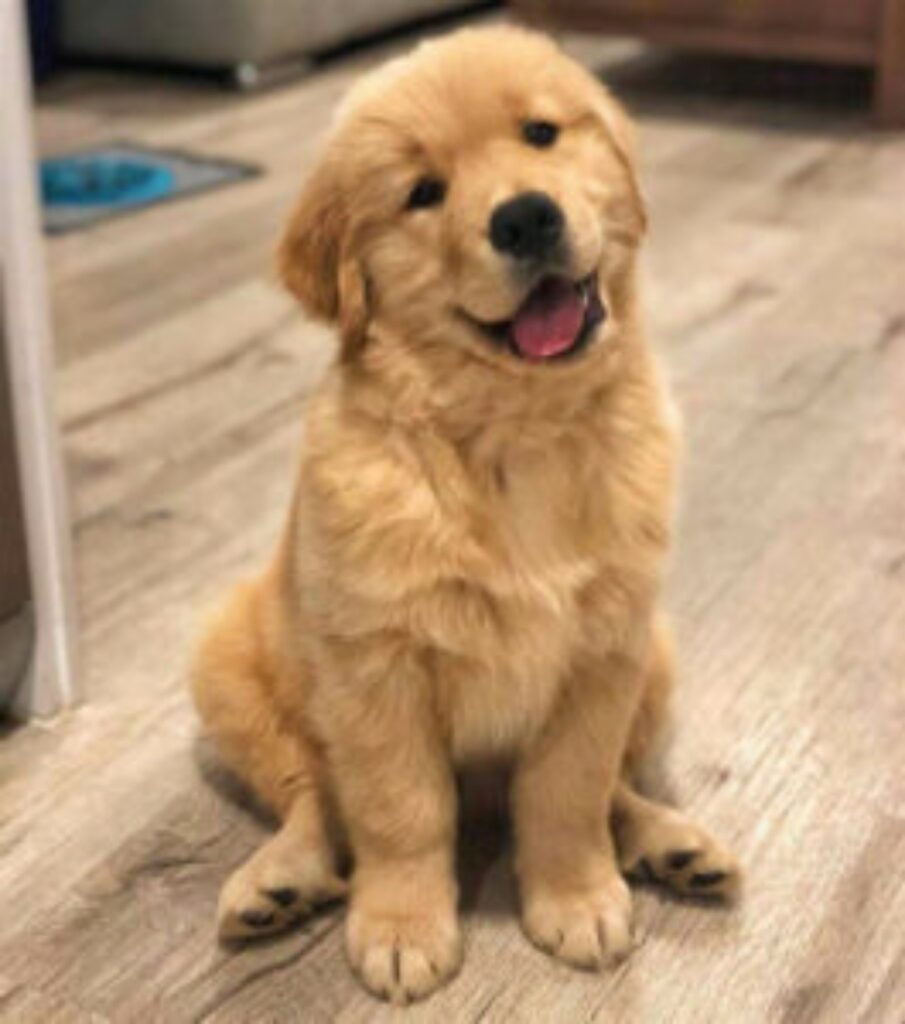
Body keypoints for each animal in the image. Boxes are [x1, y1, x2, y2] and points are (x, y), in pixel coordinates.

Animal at [189, 25, 737, 1007]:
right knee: (309, 795)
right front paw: (403, 928)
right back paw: (276, 880)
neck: (513, 434)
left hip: (655, 655)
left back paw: (671, 842)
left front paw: (576, 897)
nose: (524, 218)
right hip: (228, 668)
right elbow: (398, 811)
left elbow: (568, 792)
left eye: (540, 134)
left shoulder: (601, 652)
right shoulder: (377, 670)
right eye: (422, 193)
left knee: (615, 789)